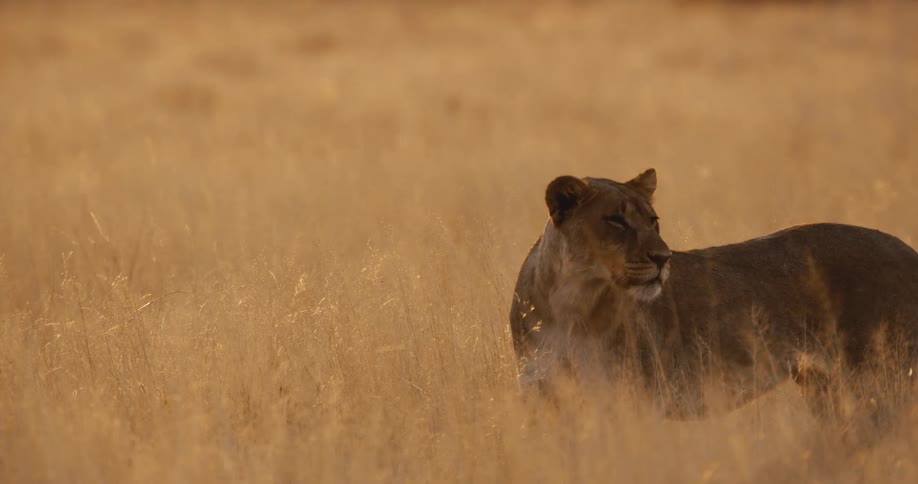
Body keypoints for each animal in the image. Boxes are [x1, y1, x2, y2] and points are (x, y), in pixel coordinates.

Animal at [510, 169, 918, 427]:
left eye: (653, 221)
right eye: (616, 221)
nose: (664, 258)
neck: (571, 302)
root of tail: (908, 250)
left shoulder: (631, 400)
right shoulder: (542, 396)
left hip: (884, 380)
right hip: (827, 388)